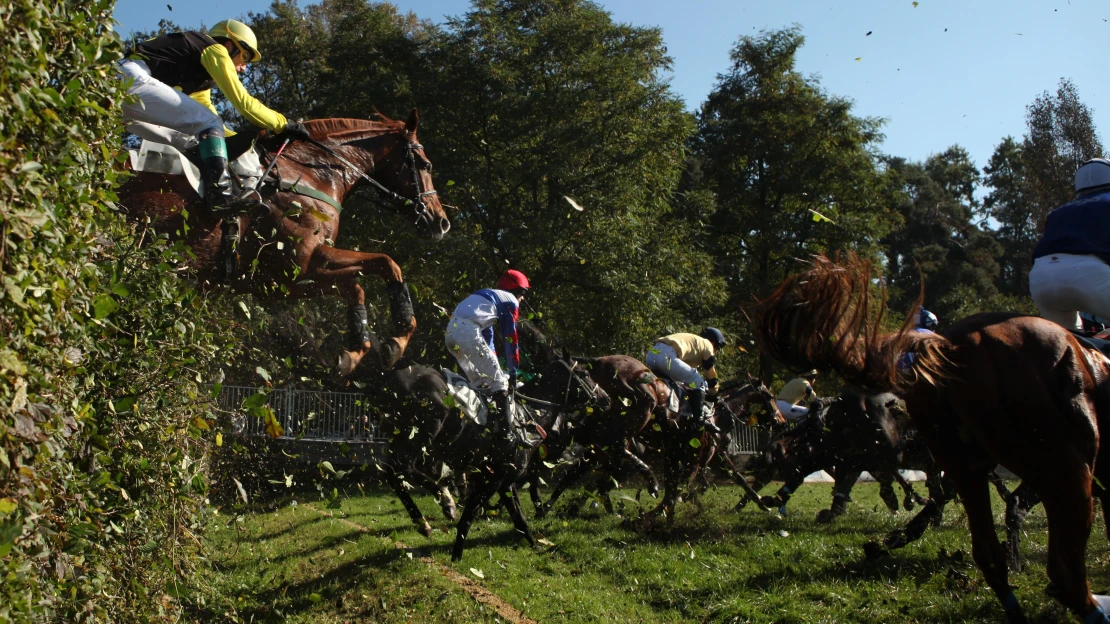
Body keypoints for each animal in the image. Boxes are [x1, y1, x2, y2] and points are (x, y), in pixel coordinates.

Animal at [114, 110, 448, 373]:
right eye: (426, 165)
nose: (441, 221)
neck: (311, 174)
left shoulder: (302, 269)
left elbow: (361, 282)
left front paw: (356, 351)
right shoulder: (287, 274)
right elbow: (382, 267)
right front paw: (398, 339)